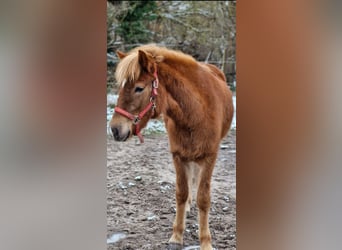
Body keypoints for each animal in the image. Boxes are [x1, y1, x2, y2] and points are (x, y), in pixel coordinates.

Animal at [111, 45, 234, 250]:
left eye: (139, 88)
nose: (115, 129)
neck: (195, 112)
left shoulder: (209, 156)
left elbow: (204, 198)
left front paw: (205, 241)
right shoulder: (178, 155)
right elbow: (181, 193)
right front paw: (176, 236)